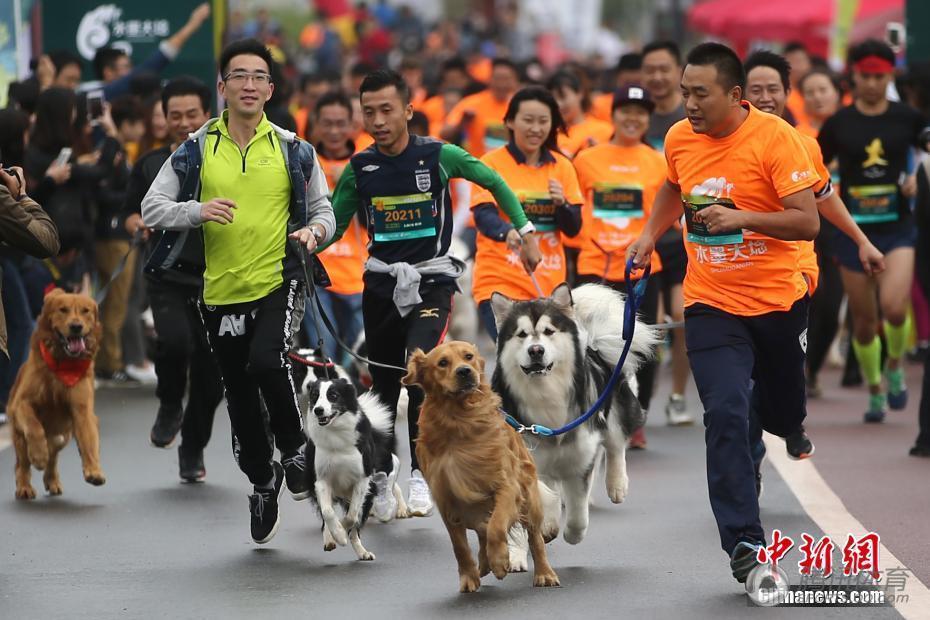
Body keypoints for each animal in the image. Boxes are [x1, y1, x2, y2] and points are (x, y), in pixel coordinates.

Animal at [304, 378, 406, 560]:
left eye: (333, 395)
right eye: (315, 395)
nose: (318, 410)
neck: (335, 434)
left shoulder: (362, 479)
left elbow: (352, 517)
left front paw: (342, 530)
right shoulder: (321, 480)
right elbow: (328, 512)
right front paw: (337, 534)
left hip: (369, 492)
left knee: (356, 527)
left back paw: (362, 552)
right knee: (326, 517)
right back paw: (330, 539)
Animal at [490, 284, 656, 568]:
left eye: (548, 331)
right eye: (522, 334)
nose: (536, 350)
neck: (545, 397)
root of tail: (591, 346)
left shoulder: (581, 456)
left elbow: (578, 508)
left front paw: (573, 533)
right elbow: (543, 494)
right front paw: (547, 525)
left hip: (612, 404)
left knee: (615, 443)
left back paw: (617, 484)